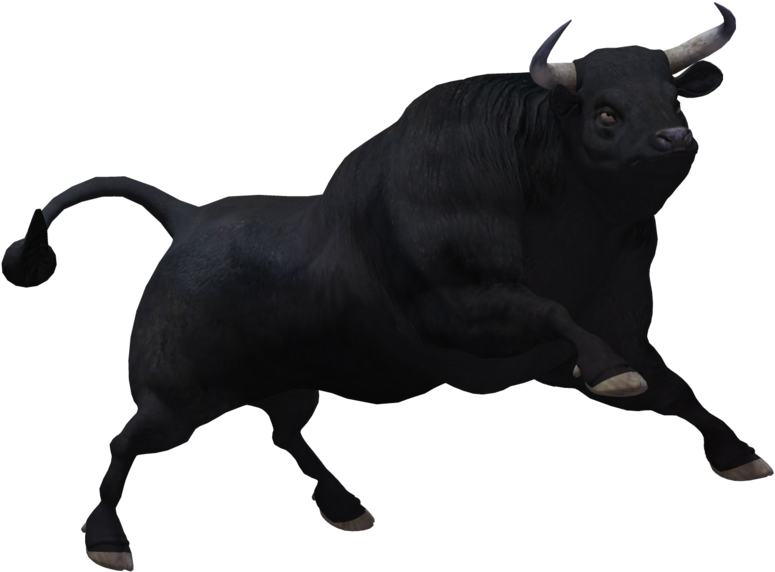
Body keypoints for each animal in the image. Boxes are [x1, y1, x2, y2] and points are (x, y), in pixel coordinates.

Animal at [3, 2, 769, 570]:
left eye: (674, 99)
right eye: (605, 111)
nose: (674, 140)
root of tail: (188, 219)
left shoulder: (604, 337)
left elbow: (675, 389)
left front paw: (739, 457)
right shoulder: (462, 311)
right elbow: (554, 315)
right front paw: (617, 376)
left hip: (290, 383)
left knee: (284, 433)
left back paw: (345, 507)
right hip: (176, 397)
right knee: (124, 442)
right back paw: (107, 541)